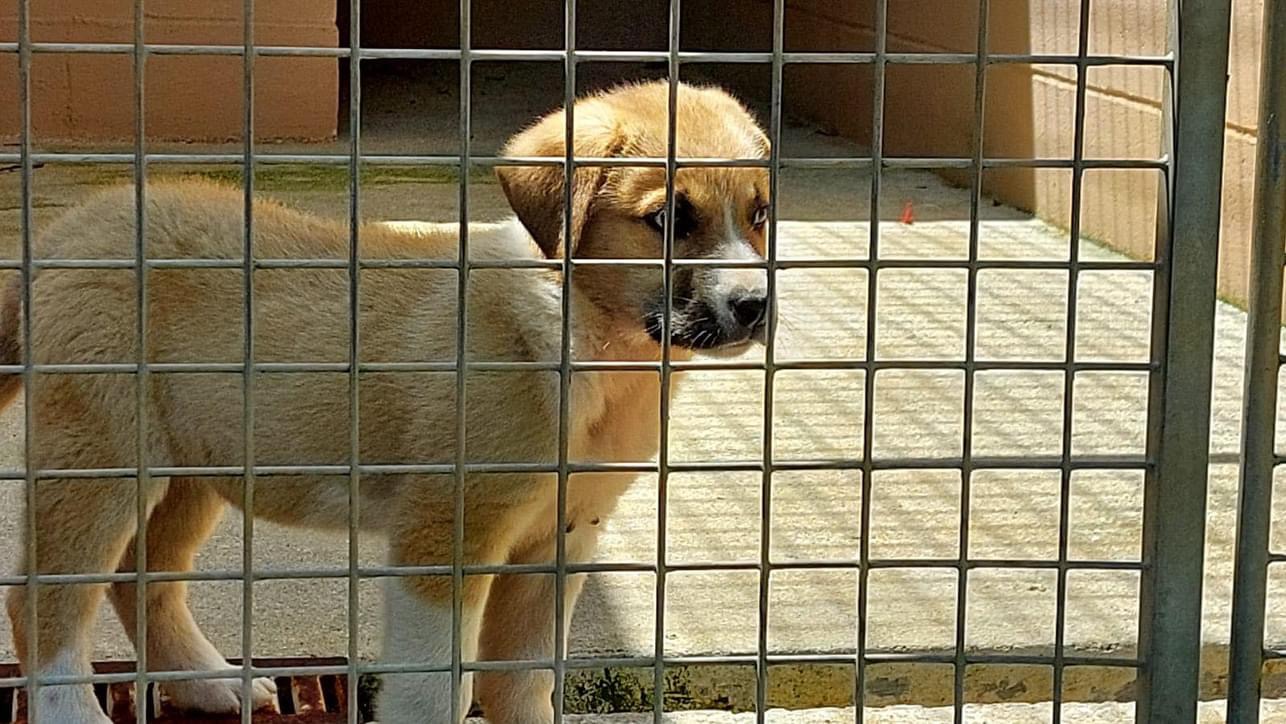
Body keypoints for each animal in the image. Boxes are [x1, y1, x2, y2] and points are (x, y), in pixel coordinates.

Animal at [3, 79, 771, 724]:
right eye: (668, 218)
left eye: (761, 213)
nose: (755, 305)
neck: (582, 336)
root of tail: (73, 227)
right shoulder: (443, 536)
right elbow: (436, 686)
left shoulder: (557, 543)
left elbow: (521, 681)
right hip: (97, 457)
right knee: (44, 599)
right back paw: (75, 713)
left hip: (191, 468)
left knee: (142, 581)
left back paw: (210, 683)